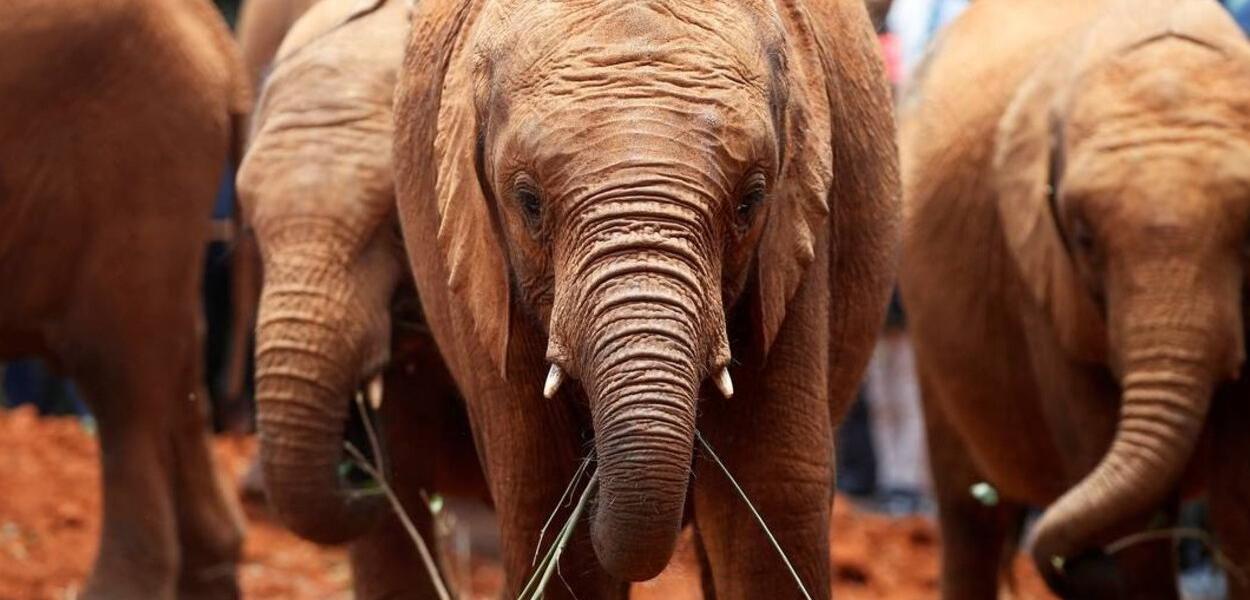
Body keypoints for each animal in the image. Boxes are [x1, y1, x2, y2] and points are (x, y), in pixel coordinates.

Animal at [898, 0, 1250, 597]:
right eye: (1084, 239)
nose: (1071, 565)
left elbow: (1238, 507)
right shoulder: (1043, 281)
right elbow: (1138, 525)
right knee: (970, 515)